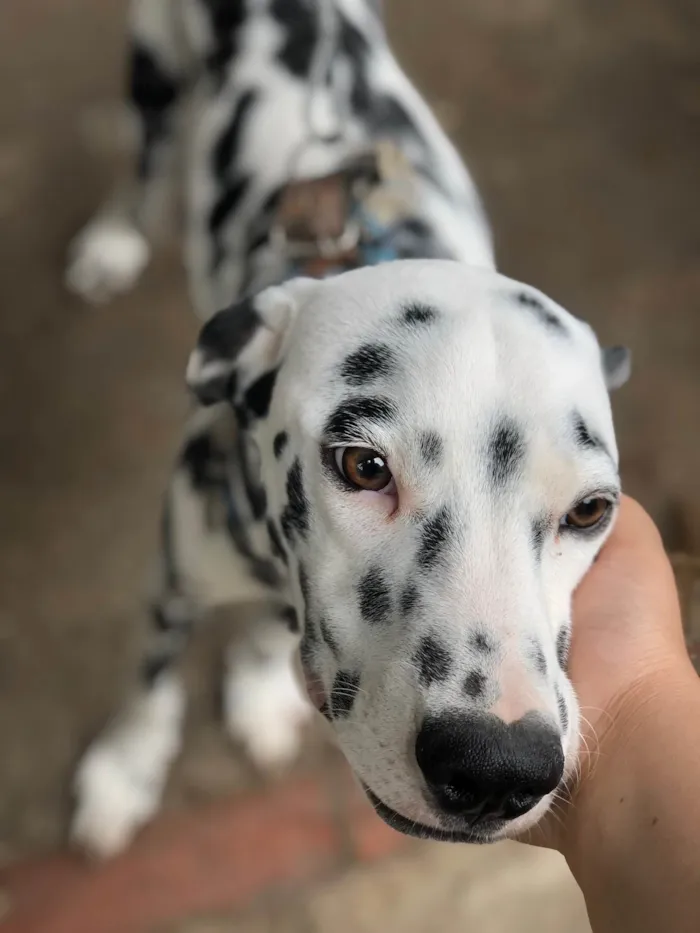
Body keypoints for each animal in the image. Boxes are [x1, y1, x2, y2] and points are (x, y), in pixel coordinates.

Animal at [68, 0, 632, 860]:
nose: (497, 766)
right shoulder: (173, 577)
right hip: (153, 72)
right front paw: (125, 773)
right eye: (364, 466)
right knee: (144, 165)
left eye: (590, 510)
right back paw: (113, 238)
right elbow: (148, 689)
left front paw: (258, 686)